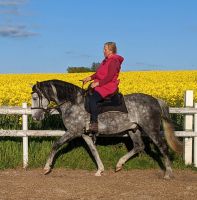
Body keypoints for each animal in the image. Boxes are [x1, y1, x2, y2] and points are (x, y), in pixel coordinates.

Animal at [30, 79, 183, 178]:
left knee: (163, 147)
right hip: (133, 129)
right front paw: (100, 170)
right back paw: (119, 164)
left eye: (35, 98)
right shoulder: (85, 134)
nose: (35, 117)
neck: (73, 103)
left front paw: (46, 168)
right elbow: (93, 150)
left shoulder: (73, 131)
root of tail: (156, 100)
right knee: (139, 146)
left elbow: (56, 144)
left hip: (151, 129)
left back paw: (168, 174)